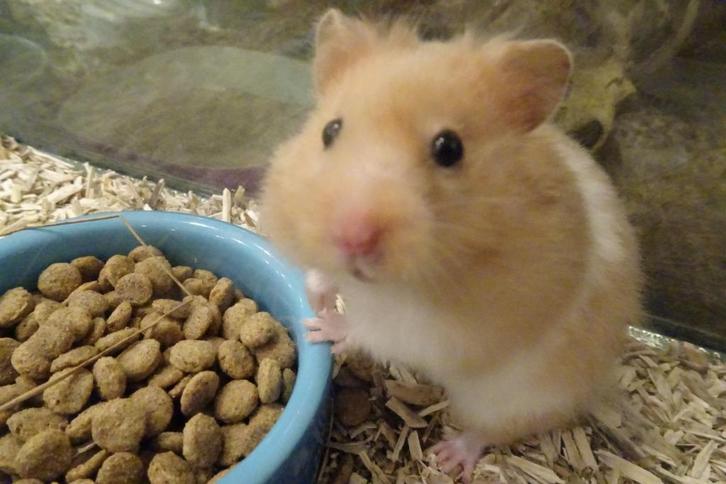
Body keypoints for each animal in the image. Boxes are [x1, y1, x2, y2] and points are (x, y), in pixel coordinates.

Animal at [259, 8, 643, 481]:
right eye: (330, 131)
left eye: (450, 148)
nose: (353, 236)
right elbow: (322, 276)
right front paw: (317, 299)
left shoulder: (439, 330)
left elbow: (376, 331)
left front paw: (323, 327)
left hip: (515, 398)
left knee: (493, 430)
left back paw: (449, 455)